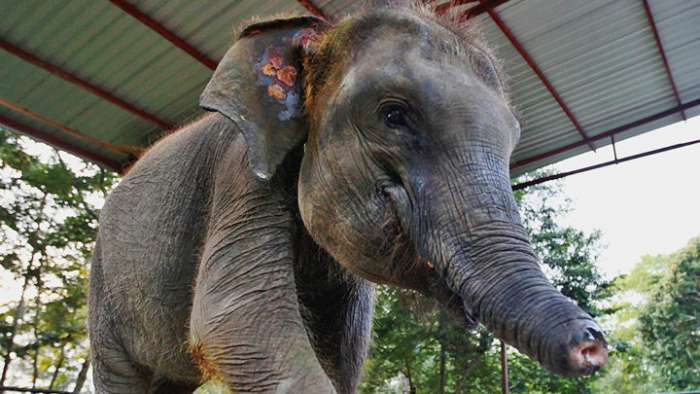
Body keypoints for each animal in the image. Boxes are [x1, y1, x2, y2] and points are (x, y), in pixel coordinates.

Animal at [89, 1, 608, 392]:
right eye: (394, 115)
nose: (593, 343)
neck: (317, 34)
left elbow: (341, 356)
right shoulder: (239, 177)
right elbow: (238, 318)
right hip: (103, 291)